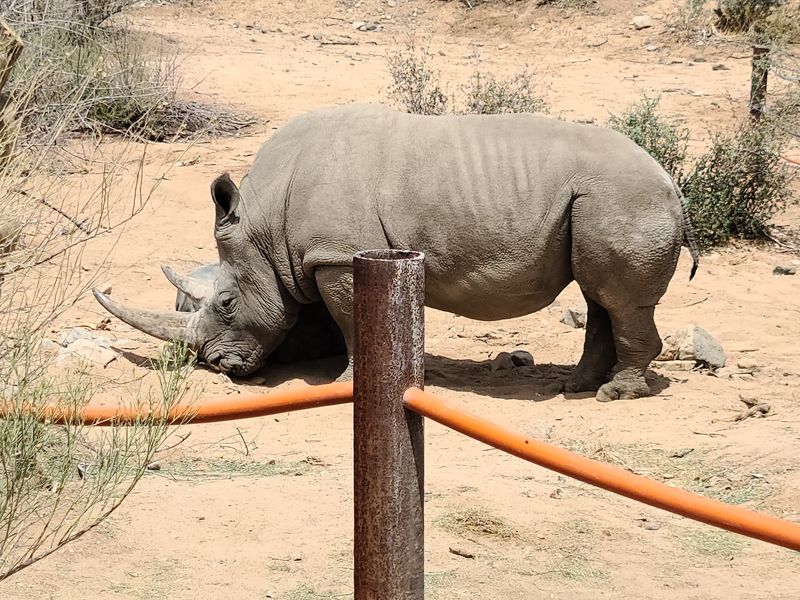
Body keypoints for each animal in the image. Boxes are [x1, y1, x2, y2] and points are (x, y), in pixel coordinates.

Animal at [94, 103, 700, 402]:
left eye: (224, 305)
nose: (220, 368)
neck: (264, 224)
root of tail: (673, 183)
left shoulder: (335, 256)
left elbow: (350, 321)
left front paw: (343, 385)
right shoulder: (318, 258)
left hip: (621, 197)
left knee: (616, 299)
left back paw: (613, 395)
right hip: (606, 200)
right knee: (600, 296)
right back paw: (576, 387)